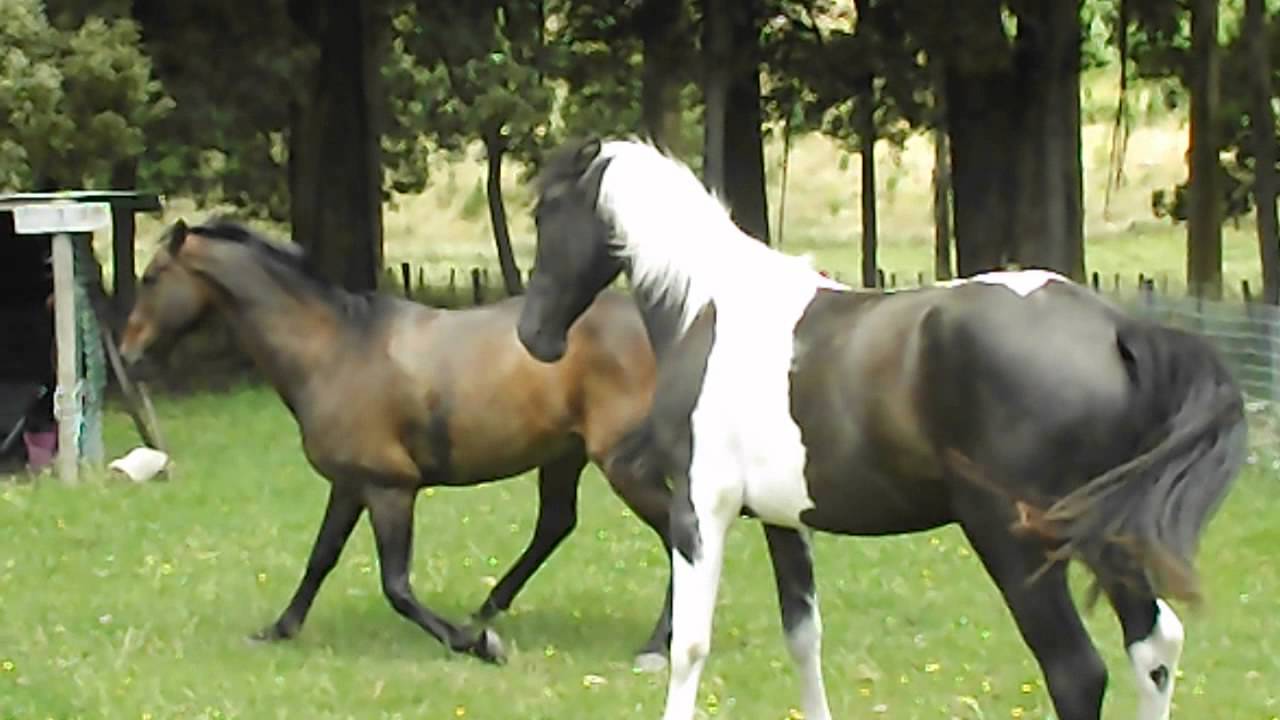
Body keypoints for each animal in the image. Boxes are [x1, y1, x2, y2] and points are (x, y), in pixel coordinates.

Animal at [118, 217, 676, 669]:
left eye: (151, 278)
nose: (127, 356)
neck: (335, 350)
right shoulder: (350, 484)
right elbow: (321, 558)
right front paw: (278, 630)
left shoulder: (390, 488)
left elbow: (397, 587)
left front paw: (477, 647)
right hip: (565, 455)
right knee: (557, 524)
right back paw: (487, 611)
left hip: (623, 464)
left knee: (677, 531)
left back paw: (653, 646)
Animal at [515, 137, 1247, 720]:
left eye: (546, 212)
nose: (534, 336)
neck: (710, 306)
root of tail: (1116, 329)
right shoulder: (784, 521)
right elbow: (803, 639)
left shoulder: (702, 509)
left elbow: (690, 647)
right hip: (1107, 536)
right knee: (1153, 646)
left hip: (1018, 543)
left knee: (1077, 672)